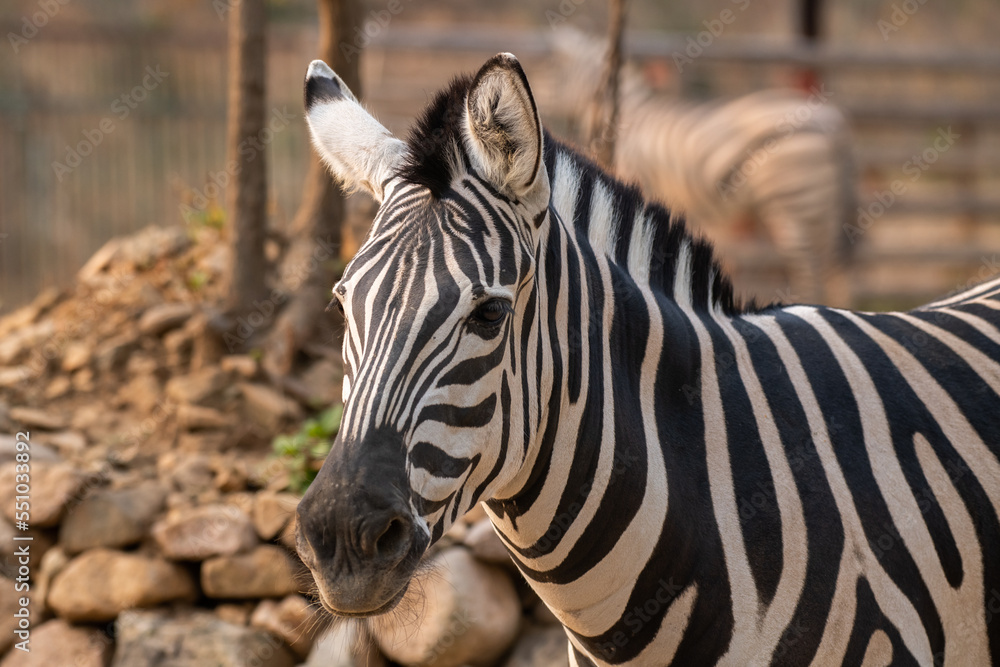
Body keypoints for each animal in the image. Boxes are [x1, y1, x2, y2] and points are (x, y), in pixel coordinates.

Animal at [545, 28, 855, 307]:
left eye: (545, 71)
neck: (627, 118)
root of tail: (830, 124)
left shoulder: (639, 180)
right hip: (820, 207)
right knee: (835, 271)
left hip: (794, 202)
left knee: (811, 272)